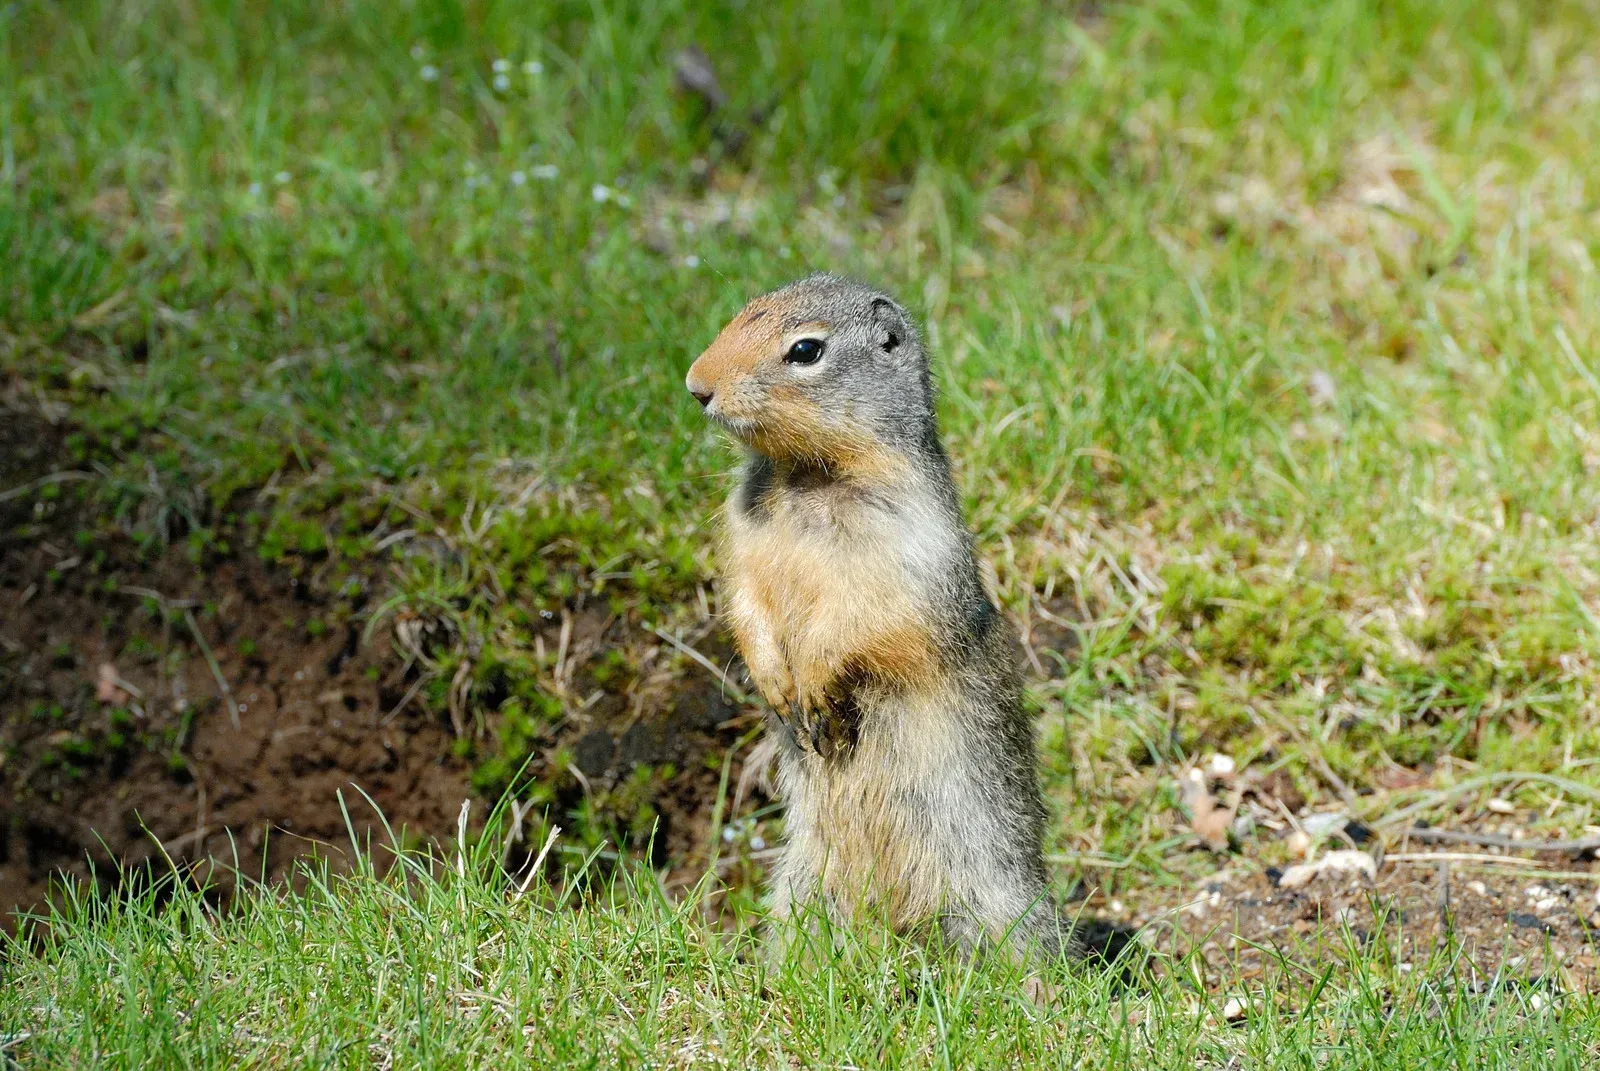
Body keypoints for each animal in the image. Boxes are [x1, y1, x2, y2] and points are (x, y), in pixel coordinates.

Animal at [686, 273, 1071, 965]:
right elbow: (746, 602)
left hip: (981, 886)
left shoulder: (904, 552)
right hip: (806, 883)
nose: (695, 385)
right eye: (741, 312)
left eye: (805, 351)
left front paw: (814, 687)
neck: (807, 477)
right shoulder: (744, 540)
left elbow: (868, 625)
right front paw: (774, 683)